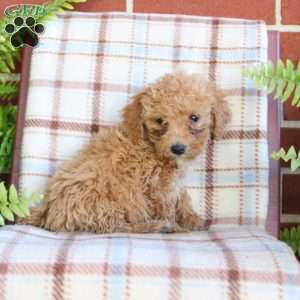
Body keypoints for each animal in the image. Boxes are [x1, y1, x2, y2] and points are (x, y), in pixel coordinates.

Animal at [22, 72, 231, 232]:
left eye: (194, 118)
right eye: (160, 121)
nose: (178, 148)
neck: (151, 146)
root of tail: (47, 210)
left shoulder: (174, 184)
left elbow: (183, 200)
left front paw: (193, 220)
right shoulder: (158, 187)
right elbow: (168, 209)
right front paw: (178, 228)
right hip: (104, 206)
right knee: (118, 227)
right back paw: (155, 227)